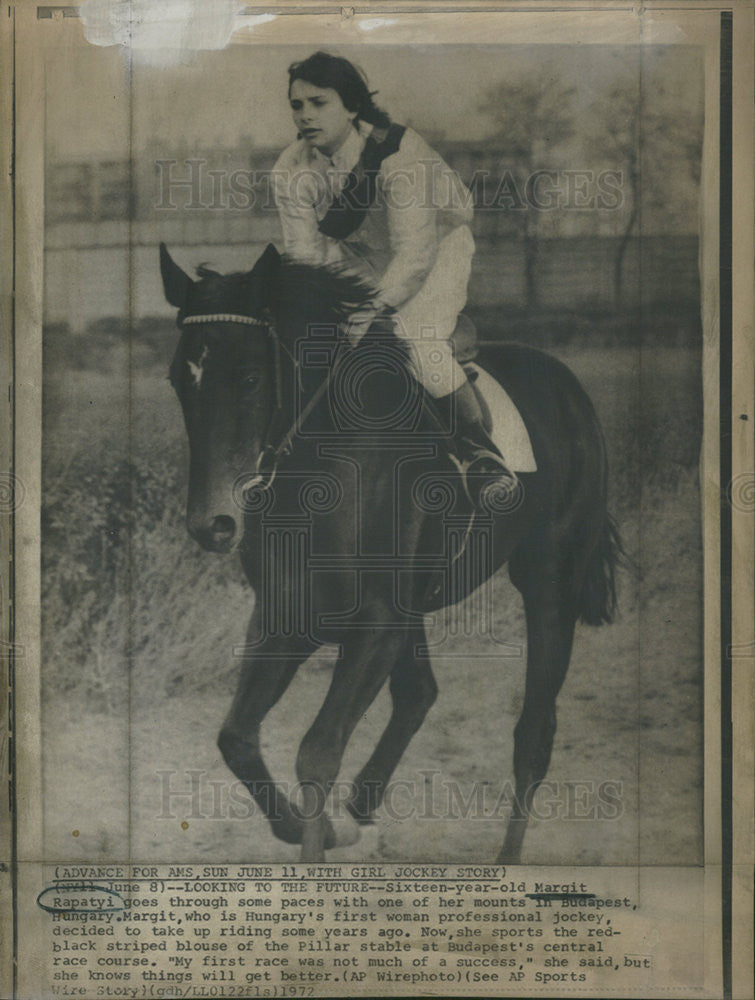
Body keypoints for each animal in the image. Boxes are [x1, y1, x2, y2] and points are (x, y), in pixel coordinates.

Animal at [159, 240, 620, 860]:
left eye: (251, 376)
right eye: (178, 379)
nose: (212, 524)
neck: (319, 474)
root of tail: (569, 386)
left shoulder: (375, 624)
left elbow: (317, 750)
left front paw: (317, 840)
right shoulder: (287, 617)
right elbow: (235, 737)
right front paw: (315, 826)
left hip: (550, 581)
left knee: (534, 731)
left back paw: (506, 856)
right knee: (419, 693)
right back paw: (362, 802)